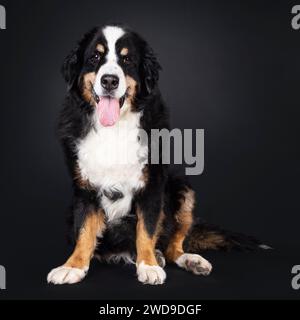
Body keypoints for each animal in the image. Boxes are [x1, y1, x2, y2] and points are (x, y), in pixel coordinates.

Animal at [46, 24, 262, 284]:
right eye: (95, 57)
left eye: (127, 59)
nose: (109, 80)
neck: (114, 128)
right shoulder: (85, 189)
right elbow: (85, 231)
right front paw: (73, 266)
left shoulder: (152, 185)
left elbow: (146, 230)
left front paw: (148, 264)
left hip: (182, 188)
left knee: (173, 244)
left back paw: (185, 259)